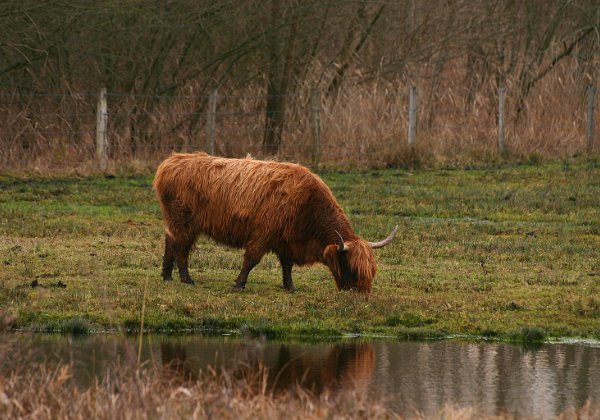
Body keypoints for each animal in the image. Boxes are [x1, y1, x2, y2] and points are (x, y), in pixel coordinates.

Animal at [154, 153, 398, 294]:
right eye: (351, 267)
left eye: (371, 271)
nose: (361, 293)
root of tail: (171, 161)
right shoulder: (264, 234)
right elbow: (251, 260)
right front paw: (239, 284)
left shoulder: (286, 240)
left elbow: (287, 266)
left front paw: (290, 287)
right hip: (184, 221)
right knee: (182, 247)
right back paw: (186, 279)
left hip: (176, 221)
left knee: (170, 242)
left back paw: (166, 276)